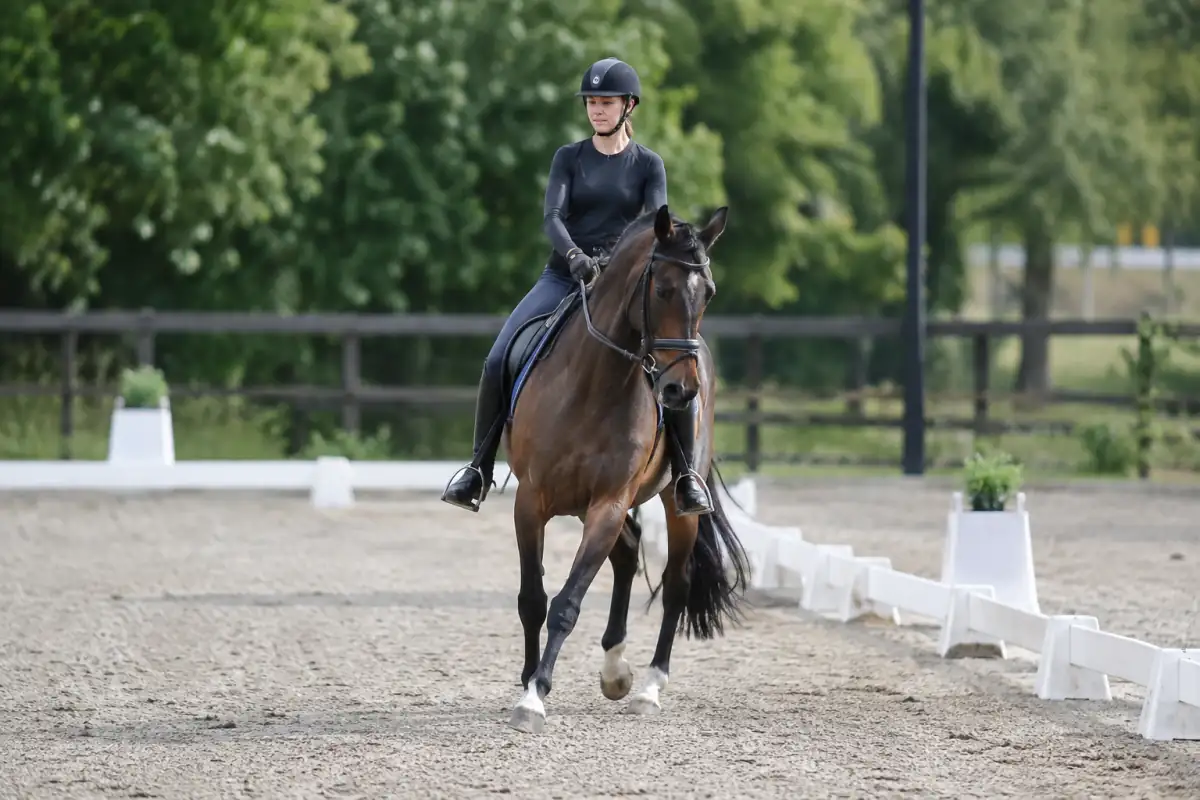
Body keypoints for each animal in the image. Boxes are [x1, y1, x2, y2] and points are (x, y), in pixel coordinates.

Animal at [494, 202, 751, 734]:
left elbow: (567, 602)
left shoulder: (608, 504)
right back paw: (615, 670)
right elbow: (533, 599)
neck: (595, 385)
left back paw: (649, 687)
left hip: (676, 503)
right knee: (630, 553)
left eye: (709, 292)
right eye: (662, 288)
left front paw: (535, 696)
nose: (680, 392)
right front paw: (528, 681)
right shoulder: (531, 501)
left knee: (676, 584)